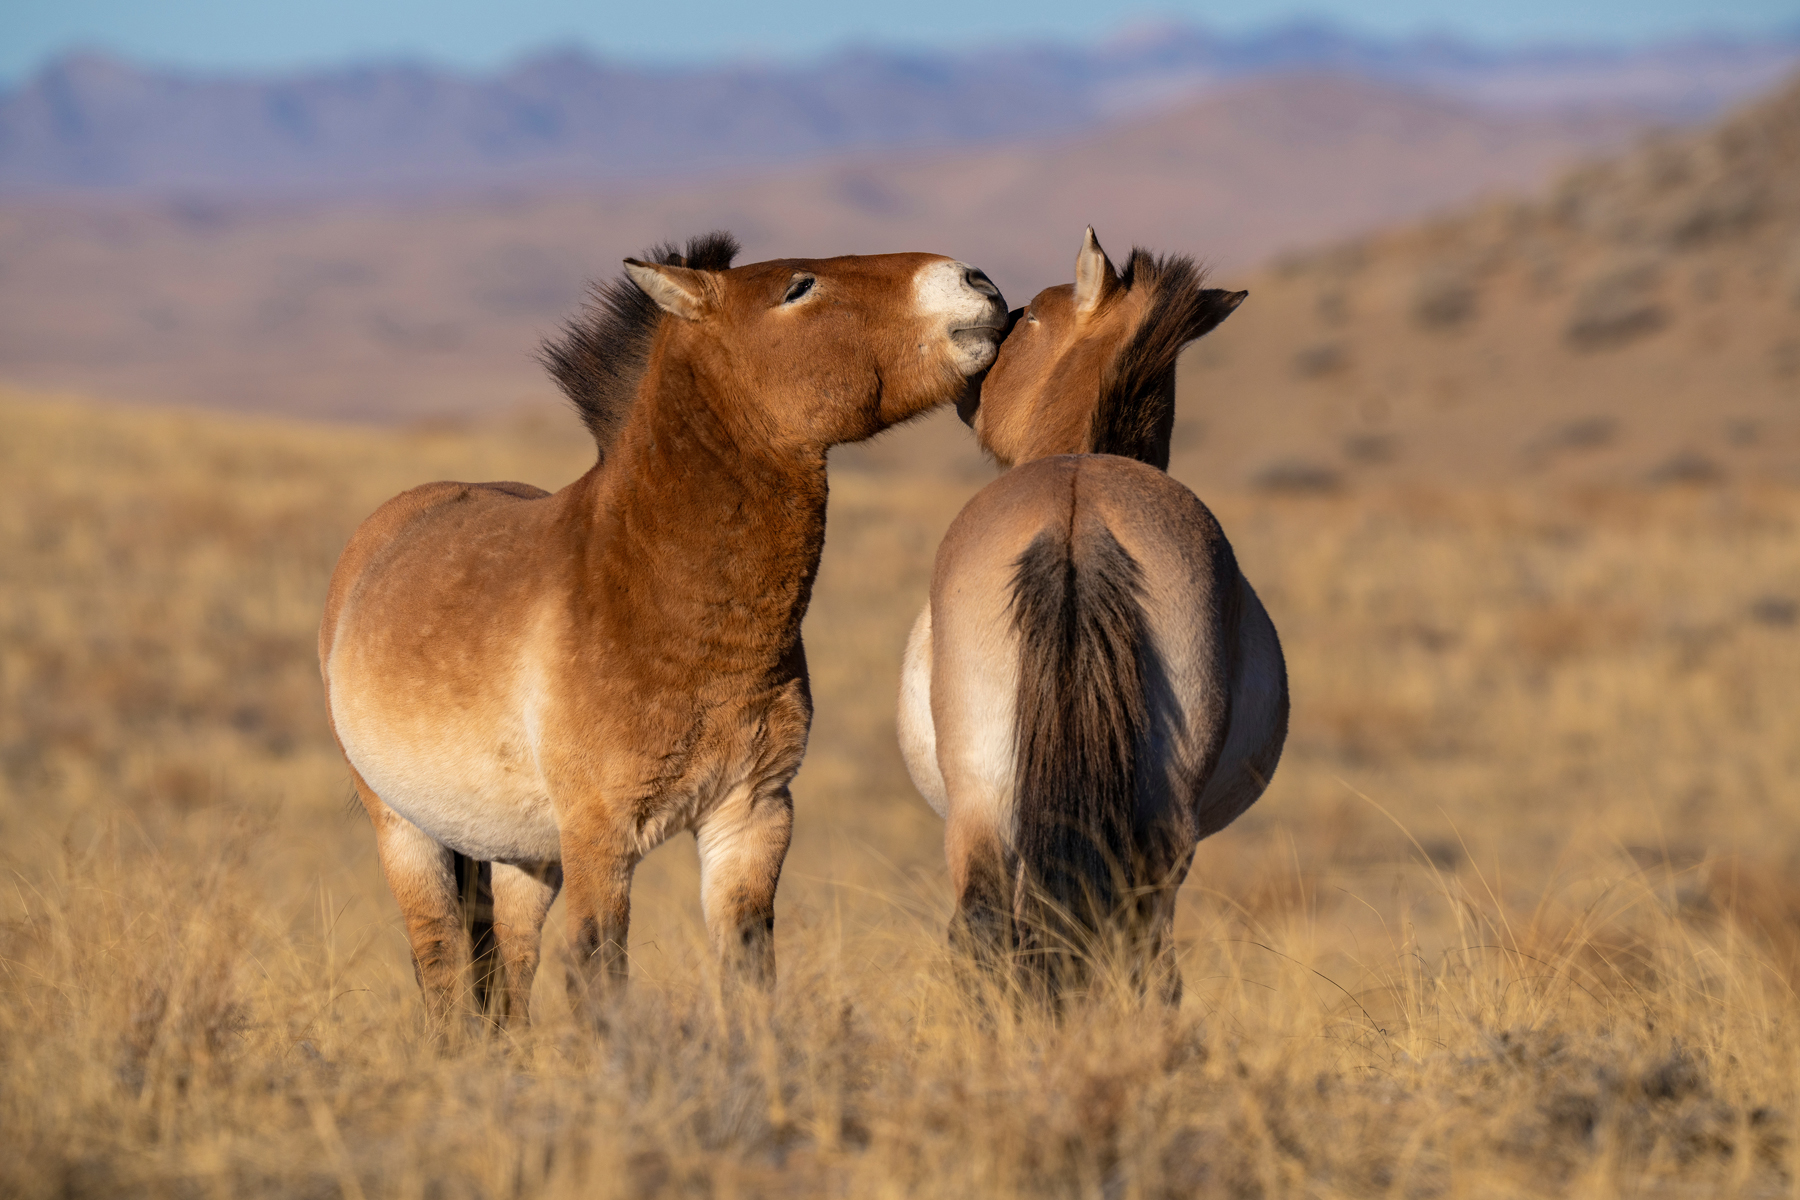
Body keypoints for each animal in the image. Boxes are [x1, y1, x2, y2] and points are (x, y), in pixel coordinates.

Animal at [321, 232, 1008, 1030]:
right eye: (798, 287)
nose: (978, 282)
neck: (661, 605)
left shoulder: (752, 817)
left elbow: (747, 971)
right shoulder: (600, 837)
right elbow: (599, 975)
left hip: (523, 853)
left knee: (511, 969)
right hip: (406, 833)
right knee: (440, 969)